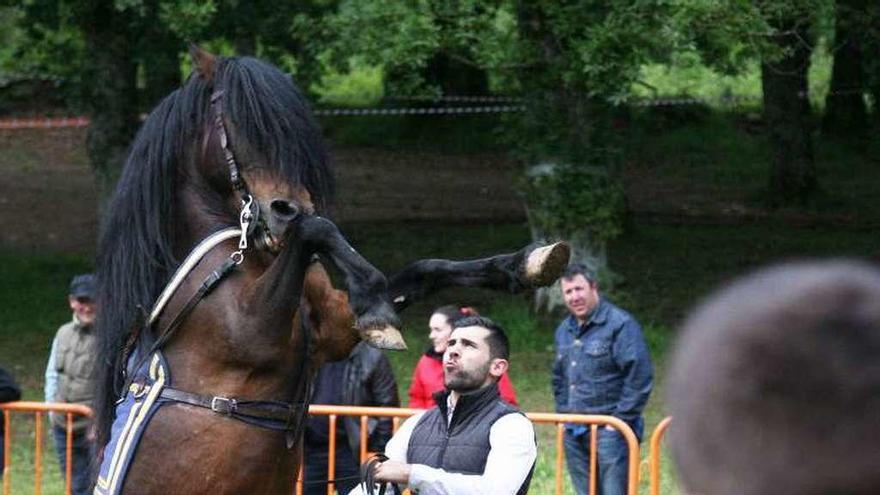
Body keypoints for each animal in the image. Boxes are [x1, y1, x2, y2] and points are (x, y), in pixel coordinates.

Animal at [93, 46, 568, 495]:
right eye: (239, 126)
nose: (285, 210)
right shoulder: (252, 331)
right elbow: (317, 228)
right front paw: (375, 302)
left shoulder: (335, 327)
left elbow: (422, 268)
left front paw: (527, 264)